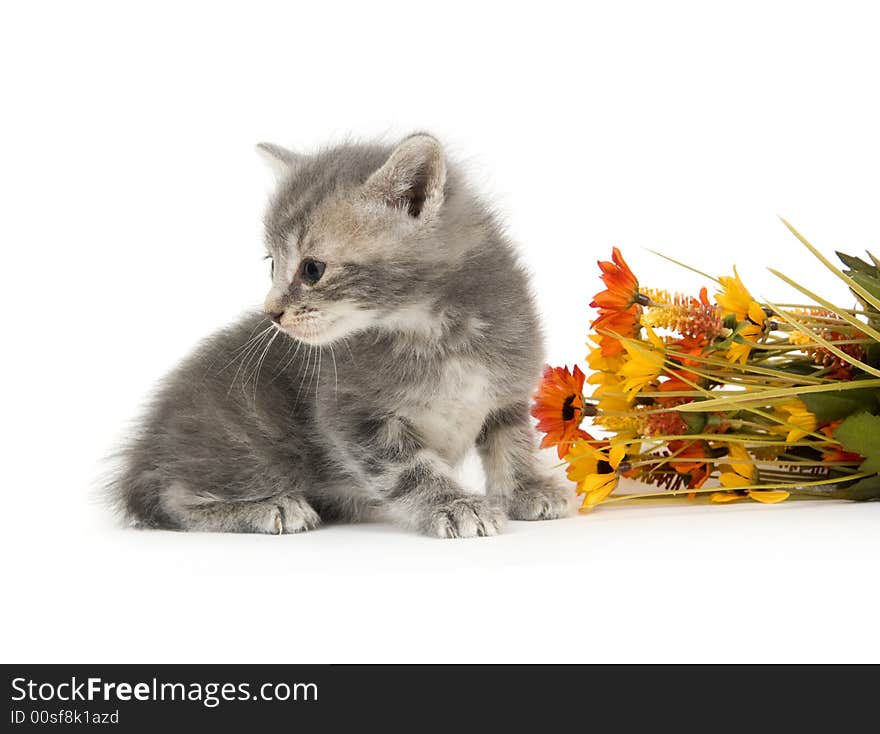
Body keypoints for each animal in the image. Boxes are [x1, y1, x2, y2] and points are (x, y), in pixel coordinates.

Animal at [113, 135, 572, 536]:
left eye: (312, 269)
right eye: (272, 264)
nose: (271, 313)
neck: (436, 331)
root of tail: (142, 459)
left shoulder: (507, 390)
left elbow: (512, 442)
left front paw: (528, 489)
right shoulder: (354, 416)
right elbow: (409, 470)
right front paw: (454, 504)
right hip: (253, 449)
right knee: (172, 498)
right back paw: (270, 507)